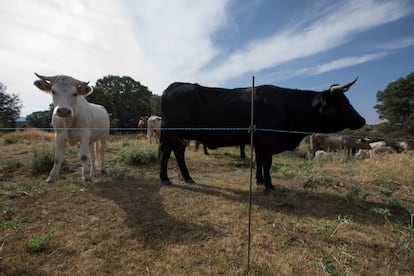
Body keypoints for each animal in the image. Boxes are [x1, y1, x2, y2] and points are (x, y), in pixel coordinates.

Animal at [158, 77, 366, 190]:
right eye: (342, 102)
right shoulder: (267, 138)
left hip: (178, 135)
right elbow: (267, 162)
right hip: (171, 133)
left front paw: (258, 181)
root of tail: (174, 86)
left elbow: (258, 161)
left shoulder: (257, 140)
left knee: (177, 152)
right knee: (166, 153)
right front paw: (269, 184)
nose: (362, 120)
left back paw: (187, 178)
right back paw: (165, 178)